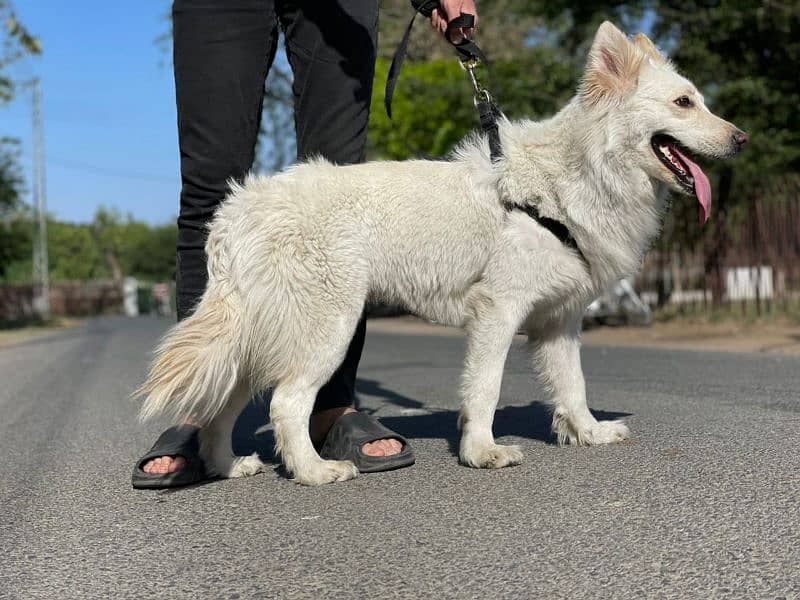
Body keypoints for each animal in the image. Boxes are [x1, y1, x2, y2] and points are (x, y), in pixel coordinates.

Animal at [136, 21, 752, 486]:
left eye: (700, 100)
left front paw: (589, 433)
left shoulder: (559, 322)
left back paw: (227, 466)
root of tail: (239, 209)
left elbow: (574, 387)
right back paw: (315, 472)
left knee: (221, 406)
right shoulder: (498, 314)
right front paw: (482, 452)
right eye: (683, 102)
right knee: (286, 403)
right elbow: (485, 388)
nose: (742, 139)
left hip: (256, 340)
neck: (567, 180)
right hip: (326, 329)